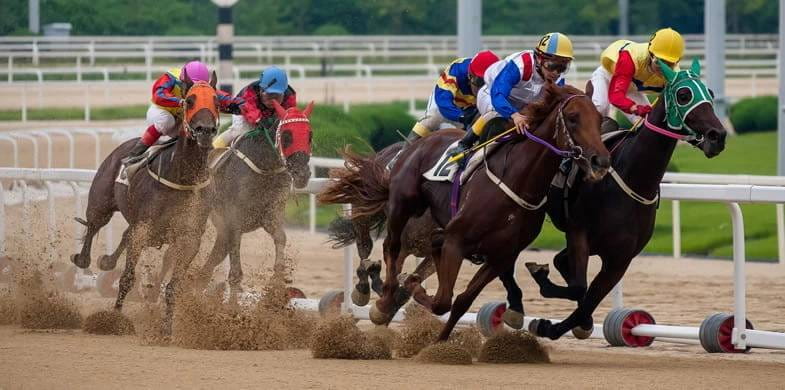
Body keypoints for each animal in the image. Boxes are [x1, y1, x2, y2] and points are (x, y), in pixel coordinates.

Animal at [194, 100, 314, 292]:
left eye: (310, 135)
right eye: (286, 136)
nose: (302, 174)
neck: (264, 168)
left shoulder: (270, 213)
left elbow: (281, 237)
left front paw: (277, 279)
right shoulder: (234, 220)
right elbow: (235, 274)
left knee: (209, 265)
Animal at [330, 83, 612, 342]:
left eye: (599, 120)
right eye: (573, 118)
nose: (600, 161)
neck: (518, 181)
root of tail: (418, 142)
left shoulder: (500, 256)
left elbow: (461, 300)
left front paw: (440, 341)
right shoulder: (457, 241)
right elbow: (442, 299)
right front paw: (408, 288)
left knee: (420, 248)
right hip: (402, 204)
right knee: (390, 246)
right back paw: (382, 300)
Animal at [520, 58, 728, 342]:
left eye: (711, 93)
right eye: (684, 95)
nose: (718, 136)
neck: (633, 178)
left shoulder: (621, 258)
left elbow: (587, 300)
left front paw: (559, 325)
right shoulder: (579, 234)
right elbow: (579, 288)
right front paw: (544, 318)